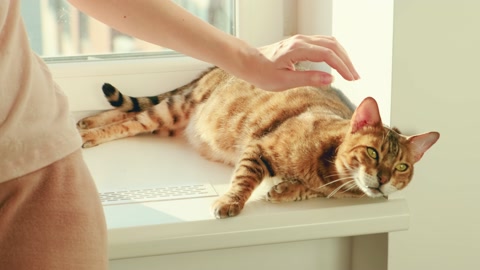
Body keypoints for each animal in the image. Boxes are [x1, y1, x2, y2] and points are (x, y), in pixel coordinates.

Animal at [78, 67, 438, 219]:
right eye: (373, 152)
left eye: (402, 167)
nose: (383, 180)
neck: (332, 177)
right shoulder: (259, 147)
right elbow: (244, 180)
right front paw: (230, 202)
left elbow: (306, 191)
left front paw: (287, 191)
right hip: (175, 109)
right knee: (132, 120)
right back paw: (88, 133)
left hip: (169, 123)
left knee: (128, 114)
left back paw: (86, 122)